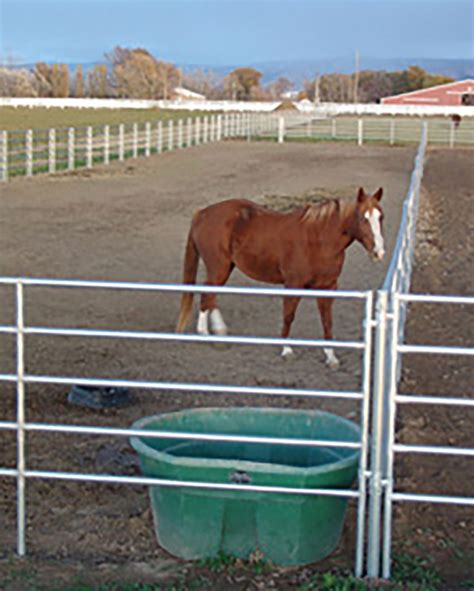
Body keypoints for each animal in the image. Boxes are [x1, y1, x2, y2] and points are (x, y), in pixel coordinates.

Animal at [176, 187, 384, 368]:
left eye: (380, 216)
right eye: (362, 217)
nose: (378, 252)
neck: (318, 240)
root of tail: (202, 213)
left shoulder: (328, 286)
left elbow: (327, 321)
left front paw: (331, 357)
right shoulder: (293, 284)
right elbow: (288, 316)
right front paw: (286, 350)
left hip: (224, 268)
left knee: (210, 295)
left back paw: (218, 333)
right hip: (218, 268)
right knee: (207, 294)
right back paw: (208, 334)